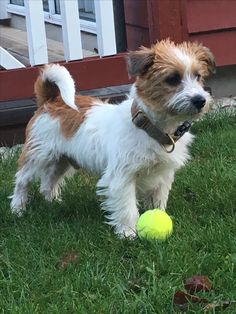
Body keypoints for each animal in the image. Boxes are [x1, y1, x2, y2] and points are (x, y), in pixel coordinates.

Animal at [10, 39, 215, 237]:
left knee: (48, 182)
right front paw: (127, 232)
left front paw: (157, 216)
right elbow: (127, 207)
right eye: (172, 79)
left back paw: (53, 203)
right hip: (38, 155)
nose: (200, 100)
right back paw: (18, 209)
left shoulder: (162, 175)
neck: (151, 127)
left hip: (62, 160)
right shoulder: (122, 177)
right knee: (22, 180)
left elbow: (158, 200)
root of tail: (51, 100)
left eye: (198, 76)